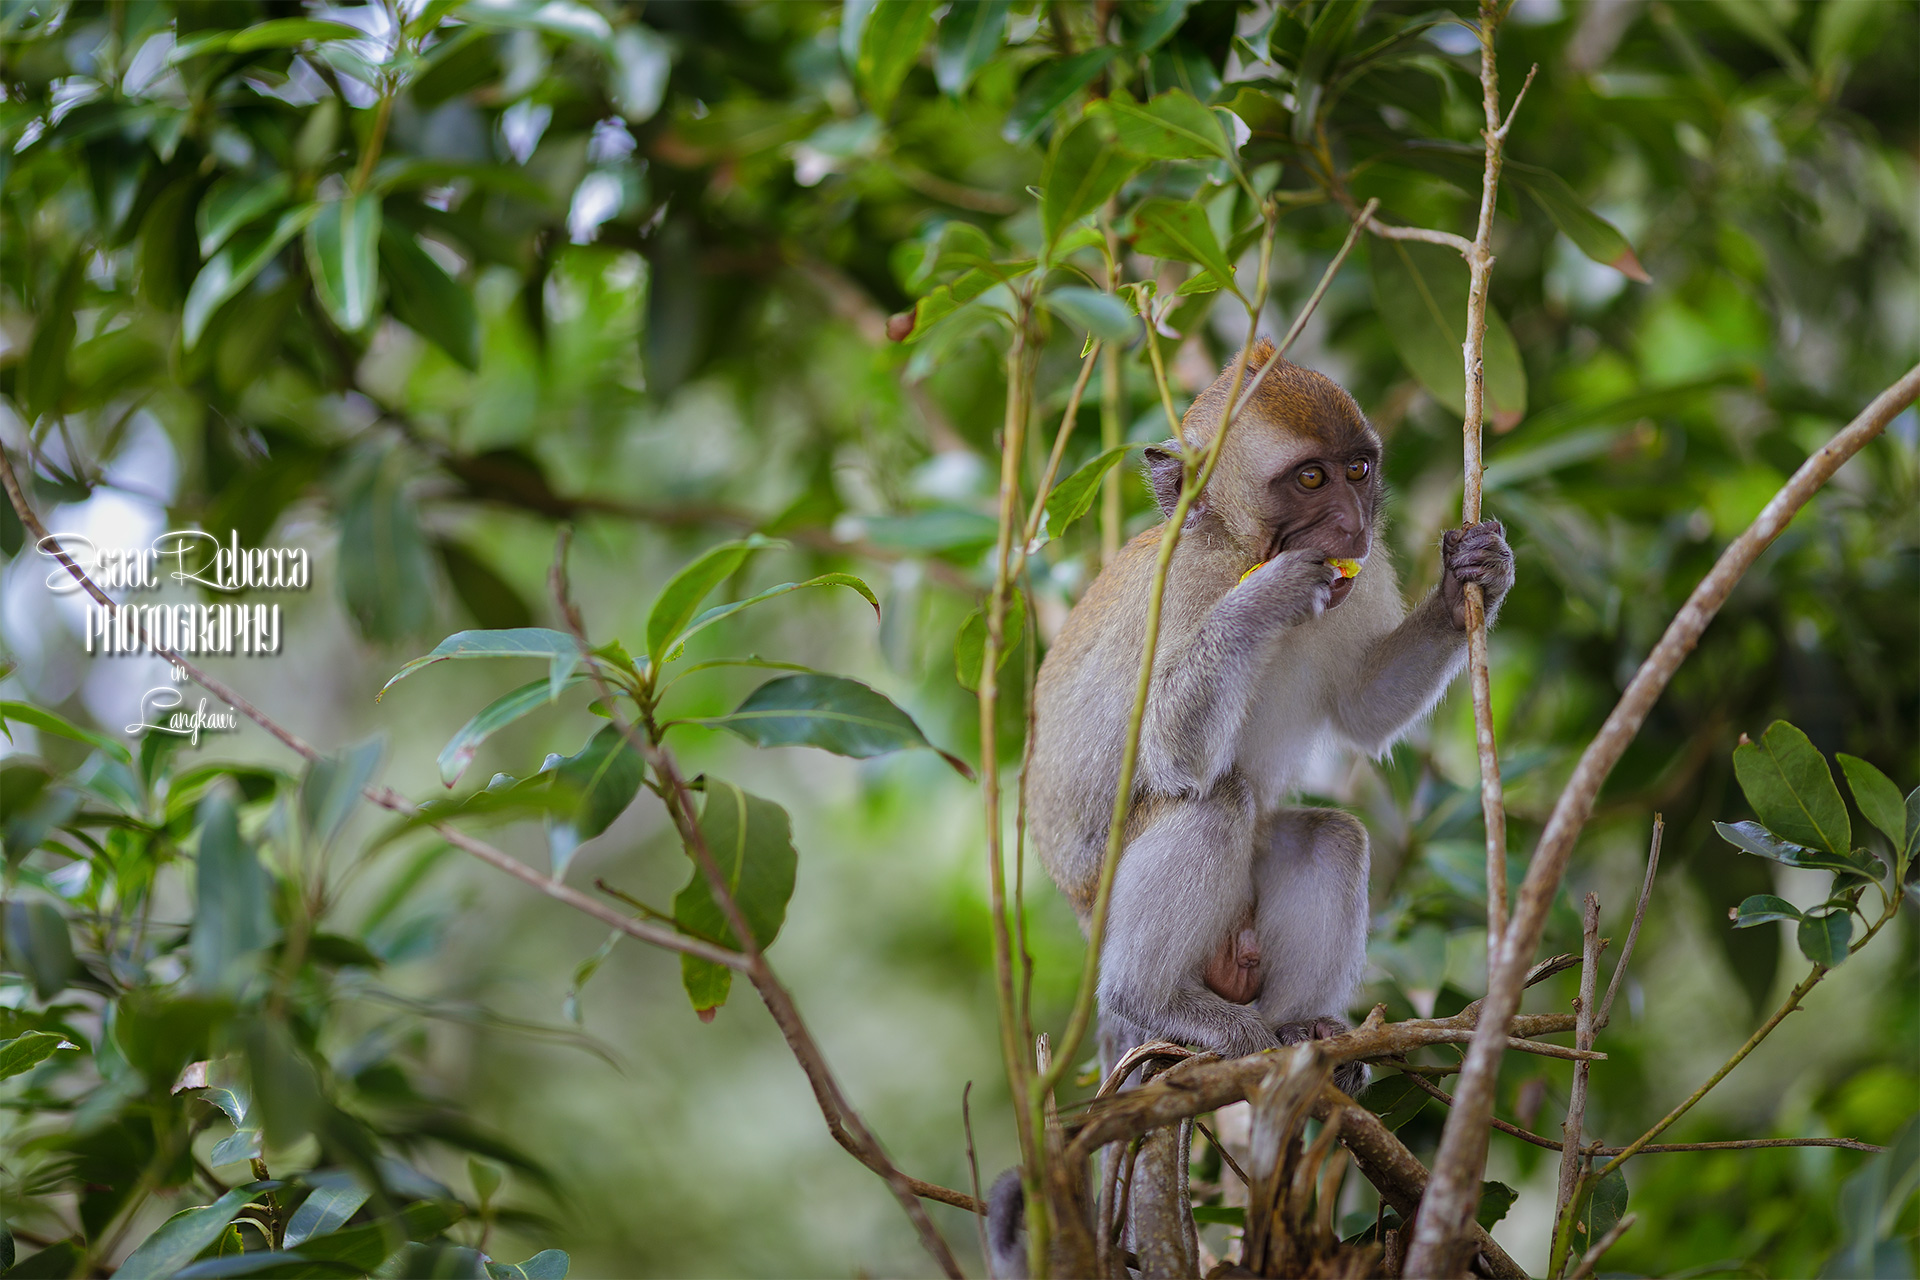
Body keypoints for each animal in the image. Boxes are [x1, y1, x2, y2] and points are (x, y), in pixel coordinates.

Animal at [1029, 337, 1505, 1082]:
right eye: (1310, 479)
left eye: (1357, 469)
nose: (1352, 524)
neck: (1235, 548)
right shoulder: (1182, 585)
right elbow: (1171, 748)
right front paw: (1268, 598)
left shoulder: (1362, 573)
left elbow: (1361, 707)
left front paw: (1471, 580)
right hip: (1104, 904)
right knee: (1214, 799)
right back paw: (1155, 1001)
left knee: (1332, 838)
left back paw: (1300, 1032)